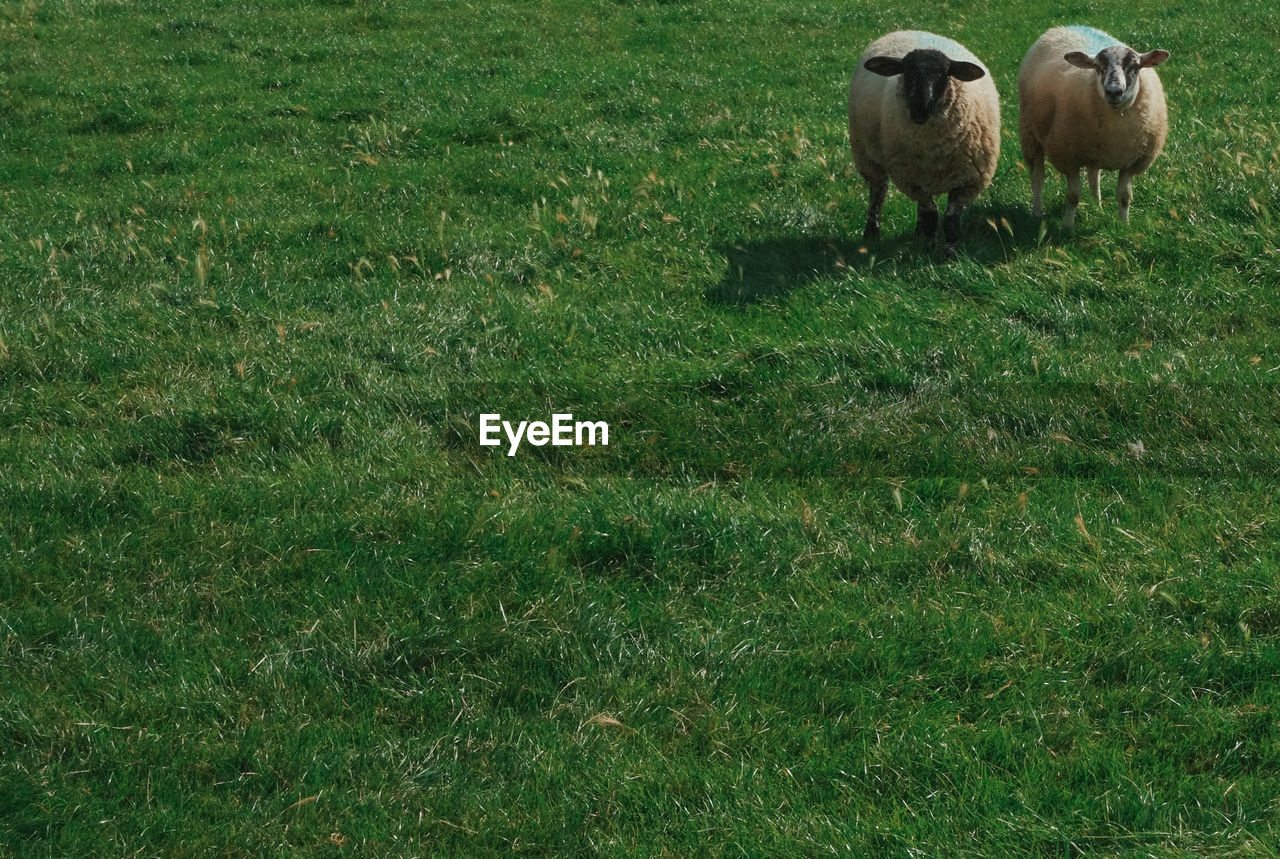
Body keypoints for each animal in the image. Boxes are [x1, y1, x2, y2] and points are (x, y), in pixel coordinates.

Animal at [1018, 26, 1172, 227]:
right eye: (1098, 67)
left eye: (1135, 66)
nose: (1114, 92)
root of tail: (1065, 26)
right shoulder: (1068, 158)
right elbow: (1073, 196)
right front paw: (1067, 227)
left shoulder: (1131, 163)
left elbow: (1124, 196)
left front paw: (1124, 225)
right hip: (1029, 134)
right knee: (1037, 178)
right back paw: (1037, 213)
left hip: (1095, 150)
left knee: (1094, 176)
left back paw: (1097, 206)